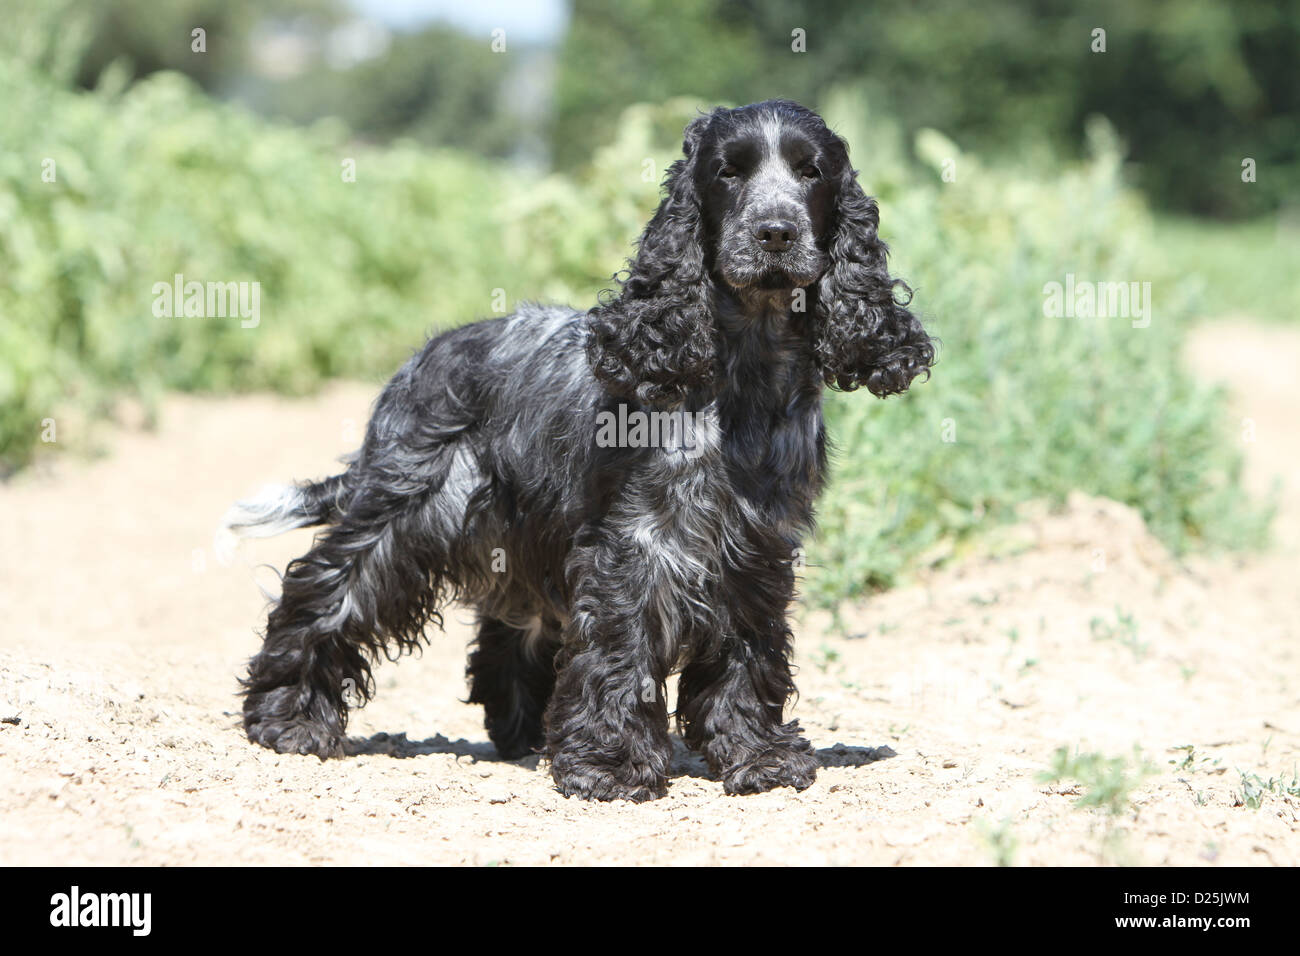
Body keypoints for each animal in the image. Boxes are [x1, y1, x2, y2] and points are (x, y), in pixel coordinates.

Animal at [226, 98, 935, 801]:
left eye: (811, 171)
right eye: (728, 173)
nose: (776, 233)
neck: (744, 371)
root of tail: (423, 355)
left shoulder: (755, 549)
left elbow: (746, 651)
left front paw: (757, 754)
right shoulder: (634, 542)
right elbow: (620, 647)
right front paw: (610, 764)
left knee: (512, 626)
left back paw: (521, 730)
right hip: (409, 507)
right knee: (325, 590)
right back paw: (288, 718)